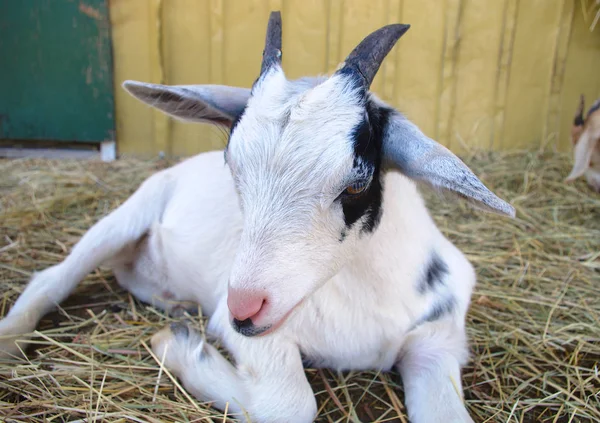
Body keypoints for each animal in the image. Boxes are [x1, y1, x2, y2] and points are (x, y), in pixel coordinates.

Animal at [0, 13, 516, 423]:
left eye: (356, 182)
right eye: (232, 164)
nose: (244, 307)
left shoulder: (438, 340)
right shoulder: (257, 338)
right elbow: (290, 405)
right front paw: (178, 348)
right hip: (128, 214)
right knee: (52, 277)